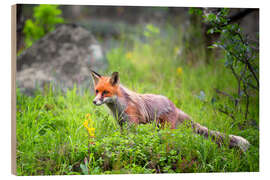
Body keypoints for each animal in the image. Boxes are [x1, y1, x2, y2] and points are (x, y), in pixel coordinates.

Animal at [89, 69, 250, 151]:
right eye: (96, 91)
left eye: (105, 92)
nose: (94, 101)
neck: (118, 106)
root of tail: (175, 106)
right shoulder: (122, 124)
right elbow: (122, 138)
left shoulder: (132, 123)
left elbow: (130, 140)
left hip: (166, 129)